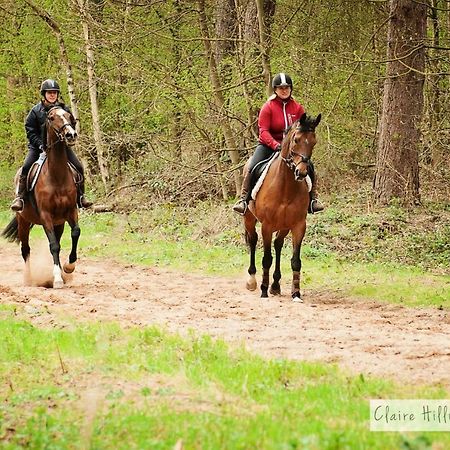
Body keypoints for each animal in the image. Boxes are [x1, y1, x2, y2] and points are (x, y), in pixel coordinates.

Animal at [2, 105, 81, 288]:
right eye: (51, 118)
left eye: (69, 116)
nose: (71, 135)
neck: (57, 176)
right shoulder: (46, 216)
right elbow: (53, 245)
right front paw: (57, 279)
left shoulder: (71, 211)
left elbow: (75, 233)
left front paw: (69, 267)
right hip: (23, 221)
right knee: (25, 249)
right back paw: (29, 280)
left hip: (59, 223)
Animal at [243, 112, 320, 302]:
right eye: (296, 139)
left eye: (313, 141)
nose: (301, 172)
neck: (286, 186)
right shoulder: (267, 225)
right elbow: (266, 258)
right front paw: (263, 290)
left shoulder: (299, 225)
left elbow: (295, 261)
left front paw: (296, 293)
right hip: (249, 218)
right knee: (253, 241)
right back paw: (252, 280)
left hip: (284, 226)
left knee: (278, 244)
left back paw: (276, 285)